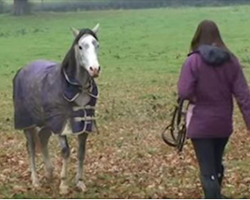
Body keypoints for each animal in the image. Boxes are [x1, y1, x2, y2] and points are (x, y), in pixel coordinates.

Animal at [12, 23, 100, 194]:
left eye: (96, 45)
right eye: (80, 46)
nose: (94, 69)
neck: (77, 89)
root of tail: (22, 69)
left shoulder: (84, 125)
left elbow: (81, 152)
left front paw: (80, 182)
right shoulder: (61, 125)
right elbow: (66, 152)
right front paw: (64, 185)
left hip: (46, 123)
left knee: (43, 139)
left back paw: (50, 172)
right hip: (28, 124)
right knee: (31, 148)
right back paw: (36, 181)